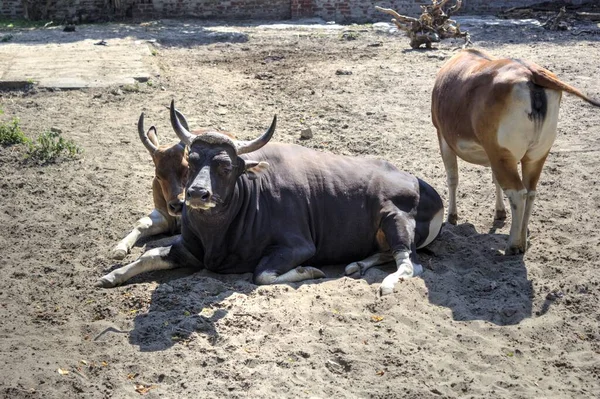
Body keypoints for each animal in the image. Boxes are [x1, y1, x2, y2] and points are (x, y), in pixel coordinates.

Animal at [99, 102, 446, 296]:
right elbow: (150, 254)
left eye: (226, 166)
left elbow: (261, 274)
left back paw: (386, 283)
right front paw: (112, 275)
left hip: (395, 219)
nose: (196, 194)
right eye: (193, 160)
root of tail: (434, 195)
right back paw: (357, 264)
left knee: (410, 265)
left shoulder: (299, 247)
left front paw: (309, 272)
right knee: (389, 254)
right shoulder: (190, 250)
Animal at [434, 48, 596, 255]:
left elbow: (452, 178)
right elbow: (494, 180)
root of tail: (532, 73)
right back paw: (523, 238)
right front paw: (500, 212)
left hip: (502, 154)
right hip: (535, 156)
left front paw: (452, 217)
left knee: (518, 193)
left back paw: (514, 245)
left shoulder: (443, 137)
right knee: (530, 192)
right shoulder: (491, 153)